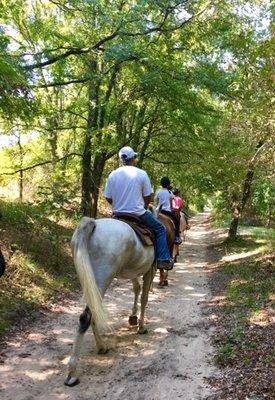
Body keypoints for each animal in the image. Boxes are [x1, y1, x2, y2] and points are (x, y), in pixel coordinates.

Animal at [64, 217, 155, 386]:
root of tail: (93, 224)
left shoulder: (135, 272)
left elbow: (136, 288)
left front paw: (133, 318)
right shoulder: (150, 270)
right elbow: (144, 297)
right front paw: (141, 326)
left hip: (90, 282)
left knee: (93, 313)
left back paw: (101, 347)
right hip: (102, 278)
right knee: (86, 316)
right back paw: (72, 373)